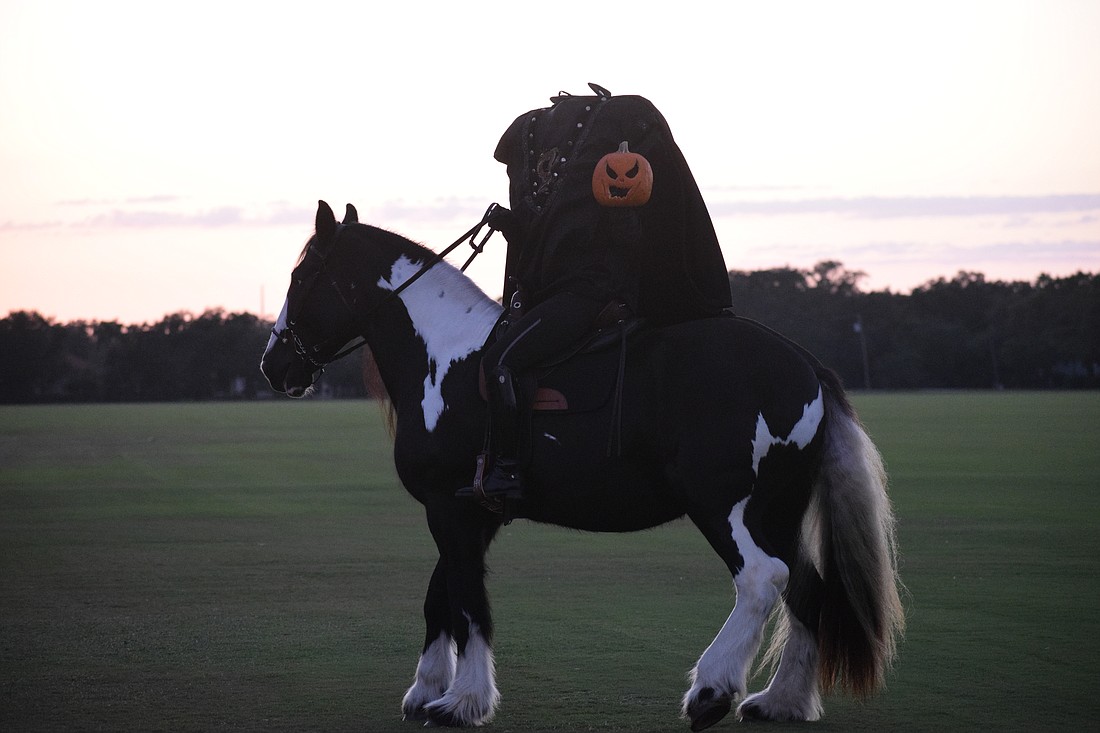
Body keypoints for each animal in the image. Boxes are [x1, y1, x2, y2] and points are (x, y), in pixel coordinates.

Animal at [261, 198, 906, 726]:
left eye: (301, 275)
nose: (274, 366)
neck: (445, 360)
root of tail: (802, 364)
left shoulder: (450, 508)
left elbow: (467, 602)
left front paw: (463, 701)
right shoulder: (470, 513)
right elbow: (440, 594)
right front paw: (426, 691)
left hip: (723, 505)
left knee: (763, 578)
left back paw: (711, 690)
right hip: (779, 511)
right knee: (806, 588)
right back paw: (781, 701)